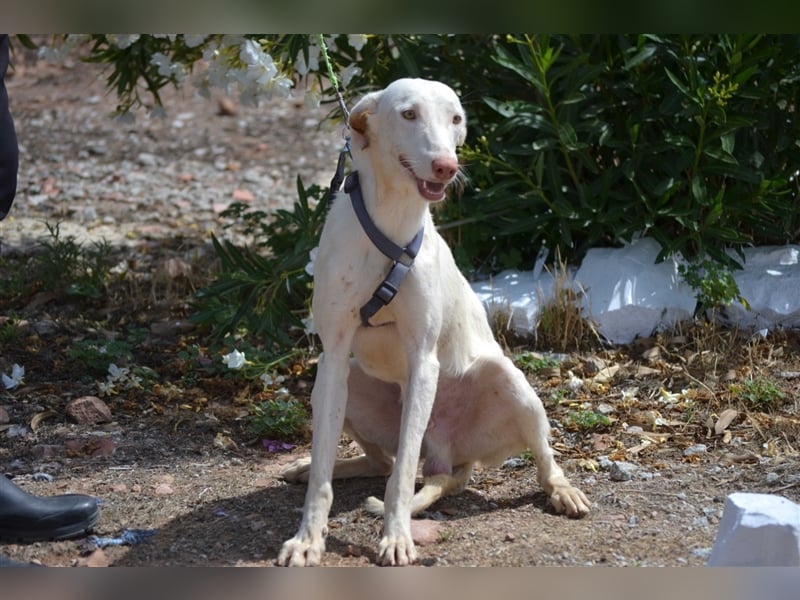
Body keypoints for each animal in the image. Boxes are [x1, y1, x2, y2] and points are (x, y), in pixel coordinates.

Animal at [278, 78, 592, 568]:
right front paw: (308, 538)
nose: (447, 166)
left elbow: (404, 476)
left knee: (540, 458)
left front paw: (396, 537)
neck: (390, 223)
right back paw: (312, 466)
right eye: (408, 114)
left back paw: (561, 490)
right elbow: (329, 476)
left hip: (510, 383)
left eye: (456, 119)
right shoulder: (333, 357)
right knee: (381, 462)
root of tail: (445, 454)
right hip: (349, 381)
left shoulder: (423, 361)